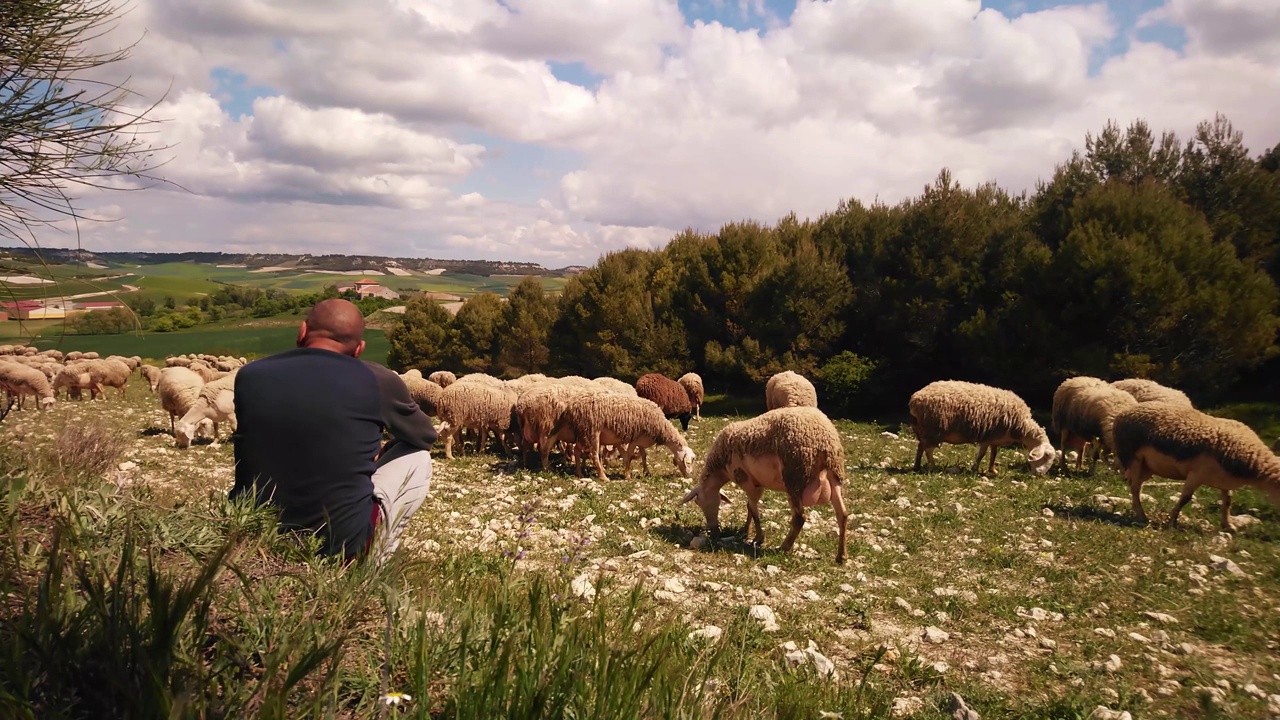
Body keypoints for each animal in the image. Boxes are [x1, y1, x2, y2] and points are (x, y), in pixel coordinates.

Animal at [547, 389, 696, 479]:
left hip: (583, 432)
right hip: (592, 431)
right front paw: (627, 475)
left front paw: (646, 471)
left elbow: (644, 455)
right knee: (594, 455)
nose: (689, 476)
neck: (661, 427)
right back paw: (603, 477)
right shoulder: (635, 439)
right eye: (689, 462)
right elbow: (629, 456)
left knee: (577, 451)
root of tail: (572, 405)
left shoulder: (641, 440)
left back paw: (579, 473)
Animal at [680, 407, 849, 563]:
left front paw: (758, 538)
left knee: (799, 517)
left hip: (795, 476)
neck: (721, 467)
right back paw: (841, 556)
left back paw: (784, 547)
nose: (712, 529)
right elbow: (749, 507)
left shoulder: (746, 480)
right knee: (843, 514)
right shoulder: (756, 482)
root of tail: (825, 439)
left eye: (698, 502)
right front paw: (745, 532)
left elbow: (754, 510)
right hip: (835, 474)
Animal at [911, 379, 1059, 474]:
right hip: (933, 429)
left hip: (924, 429)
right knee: (928, 450)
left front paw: (992, 470)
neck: (1021, 426)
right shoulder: (988, 436)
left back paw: (916, 466)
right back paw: (933, 467)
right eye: (1046, 456)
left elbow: (994, 454)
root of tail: (915, 398)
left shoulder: (995, 437)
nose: (1040, 475)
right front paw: (974, 469)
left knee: (920, 446)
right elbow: (982, 454)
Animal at [1111, 399, 1280, 530]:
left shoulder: (1224, 480)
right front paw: (1172, 522)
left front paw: (1228, 525)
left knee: (1136, 486)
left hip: (1148, 466)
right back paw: (1142, 516)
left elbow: (1227, 501)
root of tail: (1122, 414)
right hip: (1133, 458)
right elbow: (1185, 498)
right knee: (1134, 488)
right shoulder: (1197, 474)